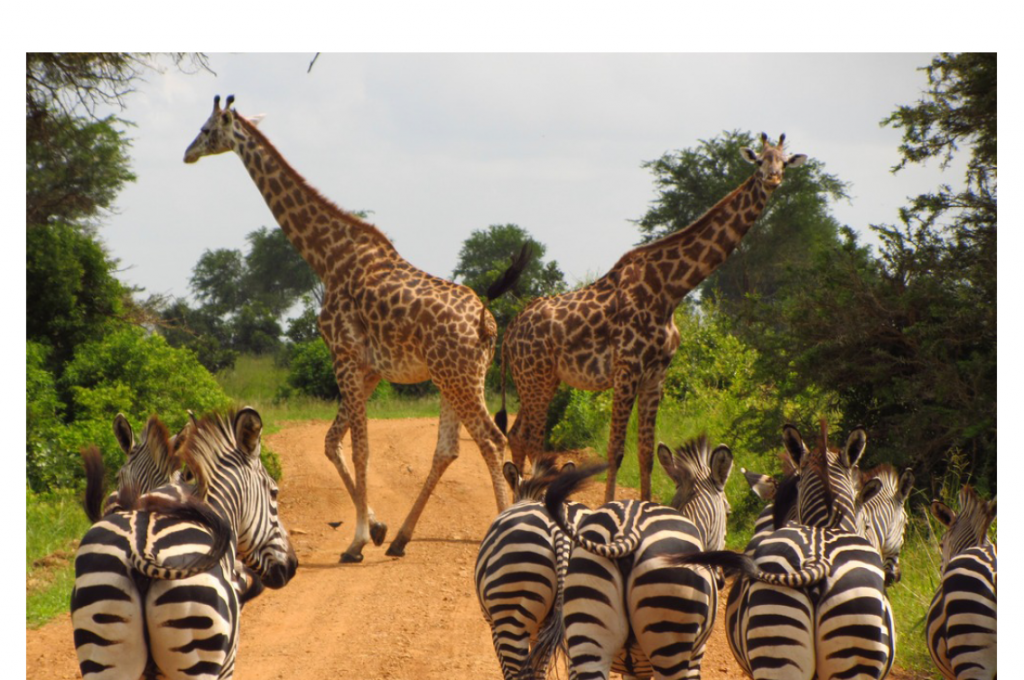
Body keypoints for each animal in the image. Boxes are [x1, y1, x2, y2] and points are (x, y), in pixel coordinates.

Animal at [534, 435, 733, 680]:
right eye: (728, 512)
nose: (722, 580)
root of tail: (628, 530)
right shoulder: (696, 655)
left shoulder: (633, 669)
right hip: (670, 638)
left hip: (587, 635)